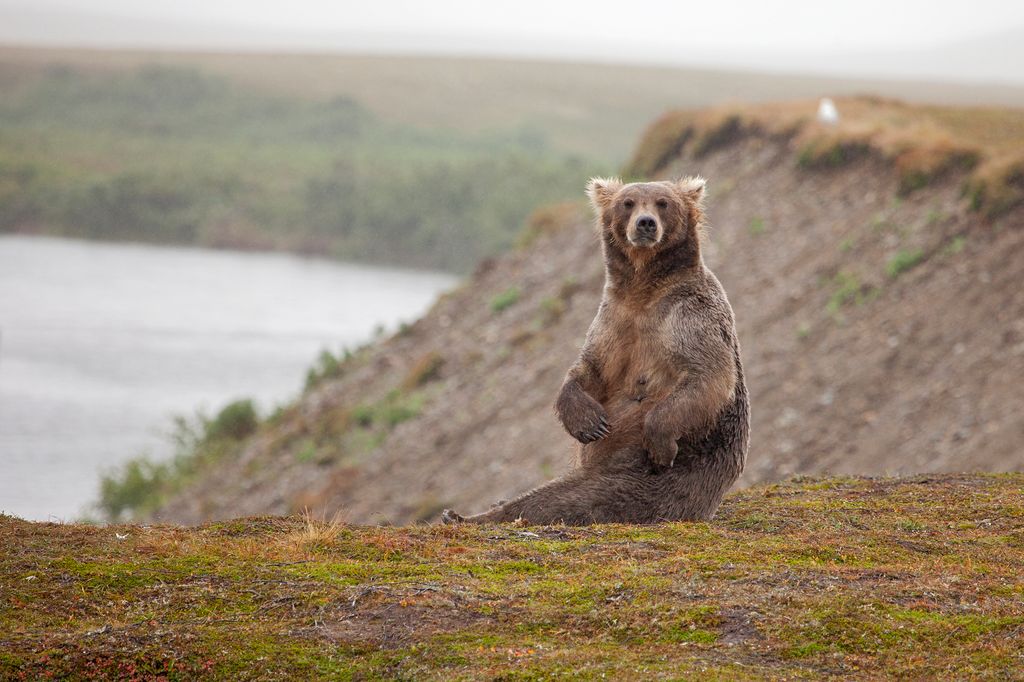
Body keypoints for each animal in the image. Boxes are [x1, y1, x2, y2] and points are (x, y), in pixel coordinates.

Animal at [442, 176, 749, 525]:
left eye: (663, 202)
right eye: (627, 202)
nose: (645, 223)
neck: (643, 292)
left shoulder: (688, 316)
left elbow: (708, 375)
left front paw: (660, 443)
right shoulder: (613, 320)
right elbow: (590, 369)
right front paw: (589, 422)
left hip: (652, 480)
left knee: (568, 498)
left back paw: (470, 515)